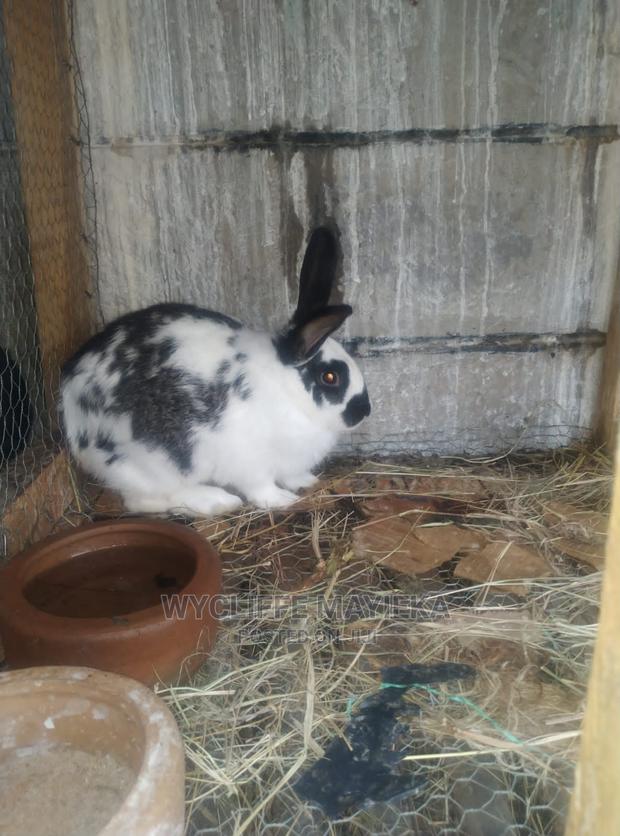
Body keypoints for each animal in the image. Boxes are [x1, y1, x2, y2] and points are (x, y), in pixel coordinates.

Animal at [59, 227, 370, 517]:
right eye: (330, 377)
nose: (364, 411)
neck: (286, 391)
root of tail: (70, 401)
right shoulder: (250, 462)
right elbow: (261, 487)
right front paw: (282, 500)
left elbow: (292, 474)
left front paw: (307, 482)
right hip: (150, 463)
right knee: (145, 500)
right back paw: (217, 501)